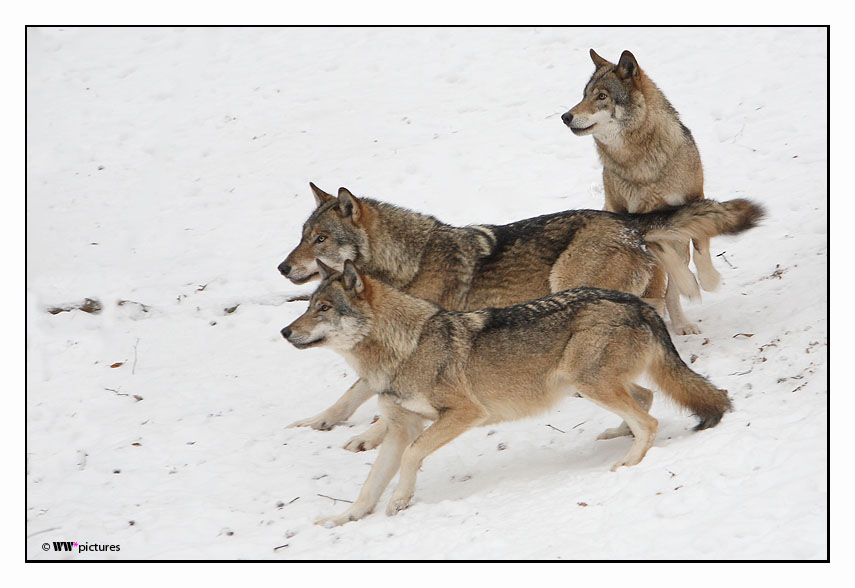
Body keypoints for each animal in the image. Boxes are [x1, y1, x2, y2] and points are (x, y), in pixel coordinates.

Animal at [280, 184, 764, 450]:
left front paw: (369, 437)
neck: (406, 265)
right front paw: (320, 421)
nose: (283, 267)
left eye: (320, 239)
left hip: (568, 282)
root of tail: (629, 223)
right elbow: (354, 392)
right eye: (301, 237)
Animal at [280, 260, 728, 524]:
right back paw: (619, 436)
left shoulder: (460, 415)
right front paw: (346, 517)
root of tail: (639, 304)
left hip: (587, 382)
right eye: (307, 306)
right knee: (645, 400)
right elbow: (370, 483)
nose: (284, 331)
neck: (403, 349)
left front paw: (400, 501)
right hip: (587, 384)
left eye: (323, 308)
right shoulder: (398, 427)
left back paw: (629, 462)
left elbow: (411, 457)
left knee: (649, 420)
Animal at [564, 49, 720, 336]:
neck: (642, 164)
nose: (565, 116)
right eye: (584, 95)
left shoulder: (695, 198)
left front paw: (709, 280)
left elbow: (701, 244)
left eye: (601, 96)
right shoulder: (636, 218)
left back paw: (681, 323)